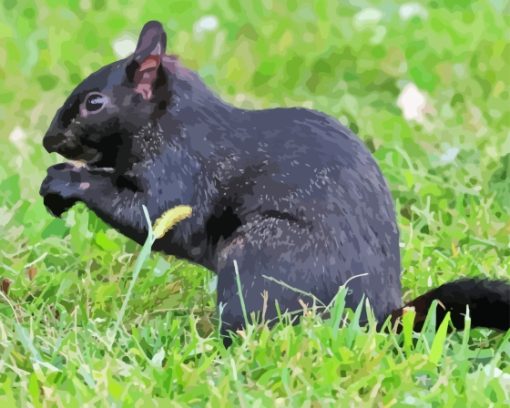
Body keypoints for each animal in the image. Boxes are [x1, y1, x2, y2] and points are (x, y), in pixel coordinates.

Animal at [39, 20, 510, 340]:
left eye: (94, 102)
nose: (48, 140)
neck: (168, 120)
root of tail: (375, 319)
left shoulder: (182, 168)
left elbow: (156, 215)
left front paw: (68, 180)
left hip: (260, 255)